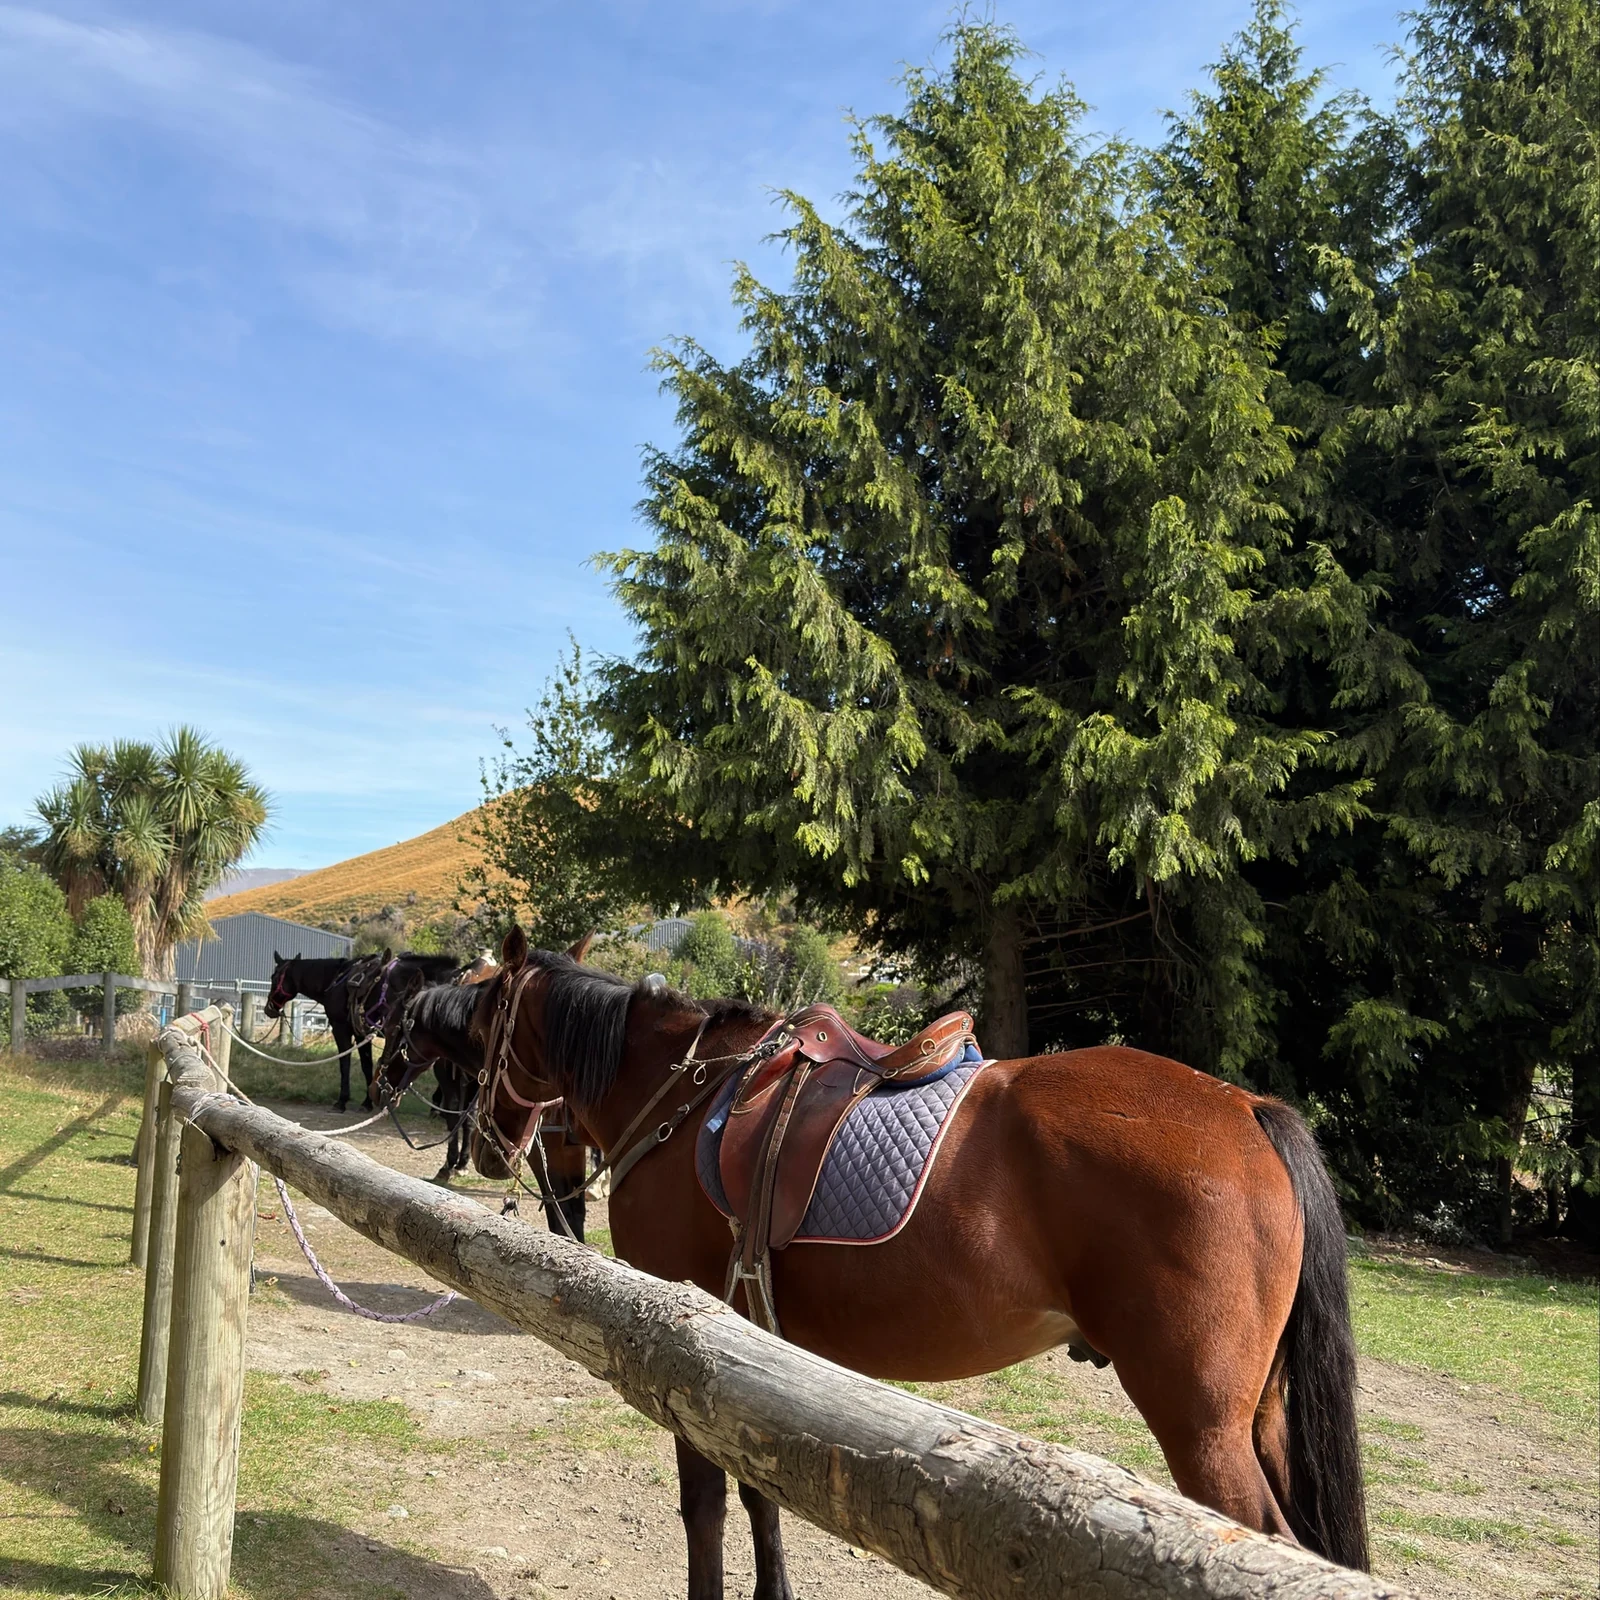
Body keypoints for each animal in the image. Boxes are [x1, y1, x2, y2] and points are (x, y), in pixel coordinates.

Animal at [466, 927, 1369, 1600]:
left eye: (477, 1026)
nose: (480, 1144)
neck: (687, 1098)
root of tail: (1248, 1109)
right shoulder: (746, 1350)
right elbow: (759, 1491)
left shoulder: (679, 1343)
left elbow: (706, 1504)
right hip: (1260, 1416)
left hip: (1203, 1425)